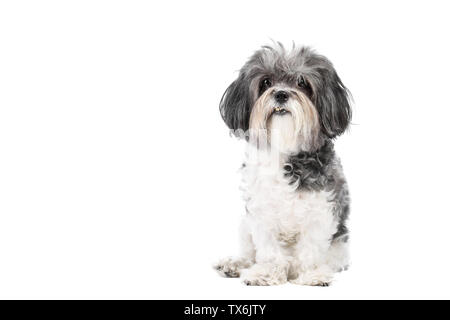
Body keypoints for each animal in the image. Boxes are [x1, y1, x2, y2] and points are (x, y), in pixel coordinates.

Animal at [214, 43, 352, 288]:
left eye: (302, 82)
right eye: (266, 82)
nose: (280, 94)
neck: (286, 148)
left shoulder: (321, 210)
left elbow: (311, 248)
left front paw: (312, 275)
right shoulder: (261, 212)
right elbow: (268, 251)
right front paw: (266, 273)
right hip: (245, 225)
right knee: (249, 254)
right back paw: (235, 265)